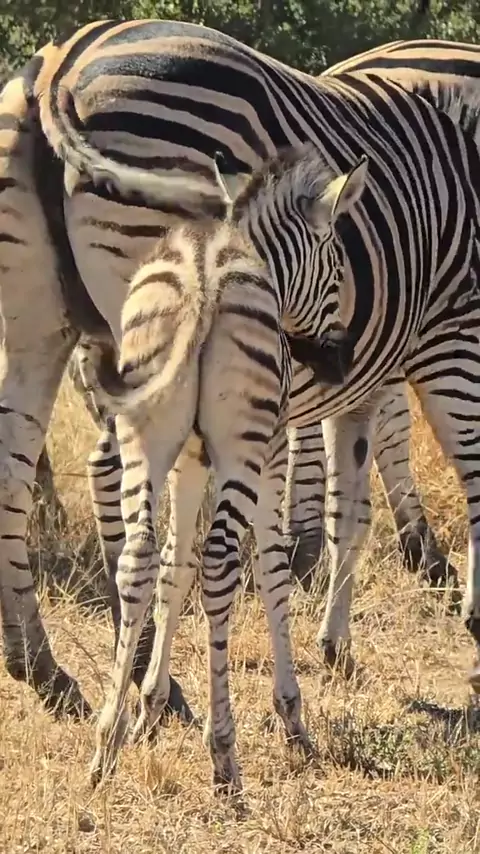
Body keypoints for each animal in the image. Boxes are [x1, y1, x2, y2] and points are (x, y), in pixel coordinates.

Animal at [72, 144, 364, 789]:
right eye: (337, 275)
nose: (339, 362)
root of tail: (201, 276)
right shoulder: (267, 454)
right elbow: (272, 568)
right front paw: (292, 716)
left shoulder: (188, 462)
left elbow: (172, 567)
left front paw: (148, 711)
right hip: (241, 447)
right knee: (222, 562)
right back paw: (224, 753)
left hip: (145, 434)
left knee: (137, 560)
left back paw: (105, 743)